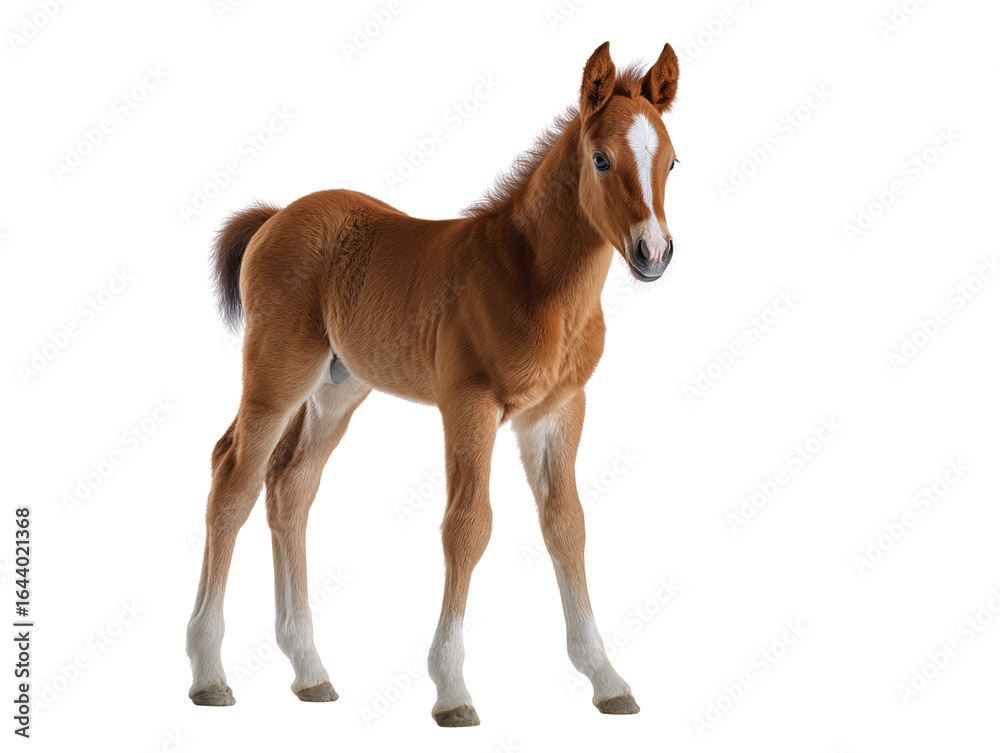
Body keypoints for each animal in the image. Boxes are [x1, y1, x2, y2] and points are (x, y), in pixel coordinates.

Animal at [187, 41, 680, 727]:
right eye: (602, 159)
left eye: (672, 161)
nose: (653, 253)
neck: (535, 283)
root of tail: (275, 216)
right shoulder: (468, 403)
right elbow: (467, 525)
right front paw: (452, 690)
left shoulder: (558, 411)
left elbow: (566, 525)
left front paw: (606, 679)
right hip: (277, 373)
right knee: (233, 479)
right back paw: (209, 672)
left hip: (337, 389)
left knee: (290, 486)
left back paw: (309, 671)